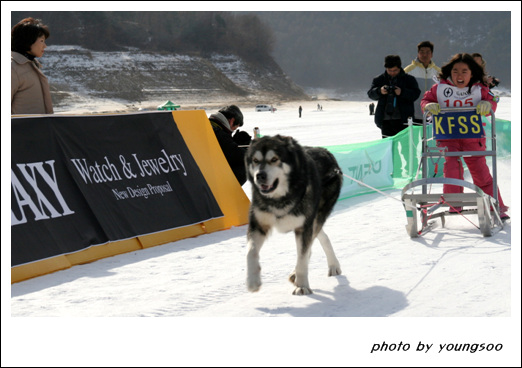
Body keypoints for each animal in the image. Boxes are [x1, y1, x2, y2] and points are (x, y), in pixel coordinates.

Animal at [244, 134, 342, 294]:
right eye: (255, 160)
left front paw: (302, 286)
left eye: (274, 159)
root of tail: (327, 152)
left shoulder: (303, 228)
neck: (280, 199)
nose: (260, 176)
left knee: (310, 246)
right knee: (321, 237)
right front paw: (252, 280)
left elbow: (302, 258)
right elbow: (250, 252)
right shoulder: (258, 225)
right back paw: (332, 265)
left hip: (314, 219)